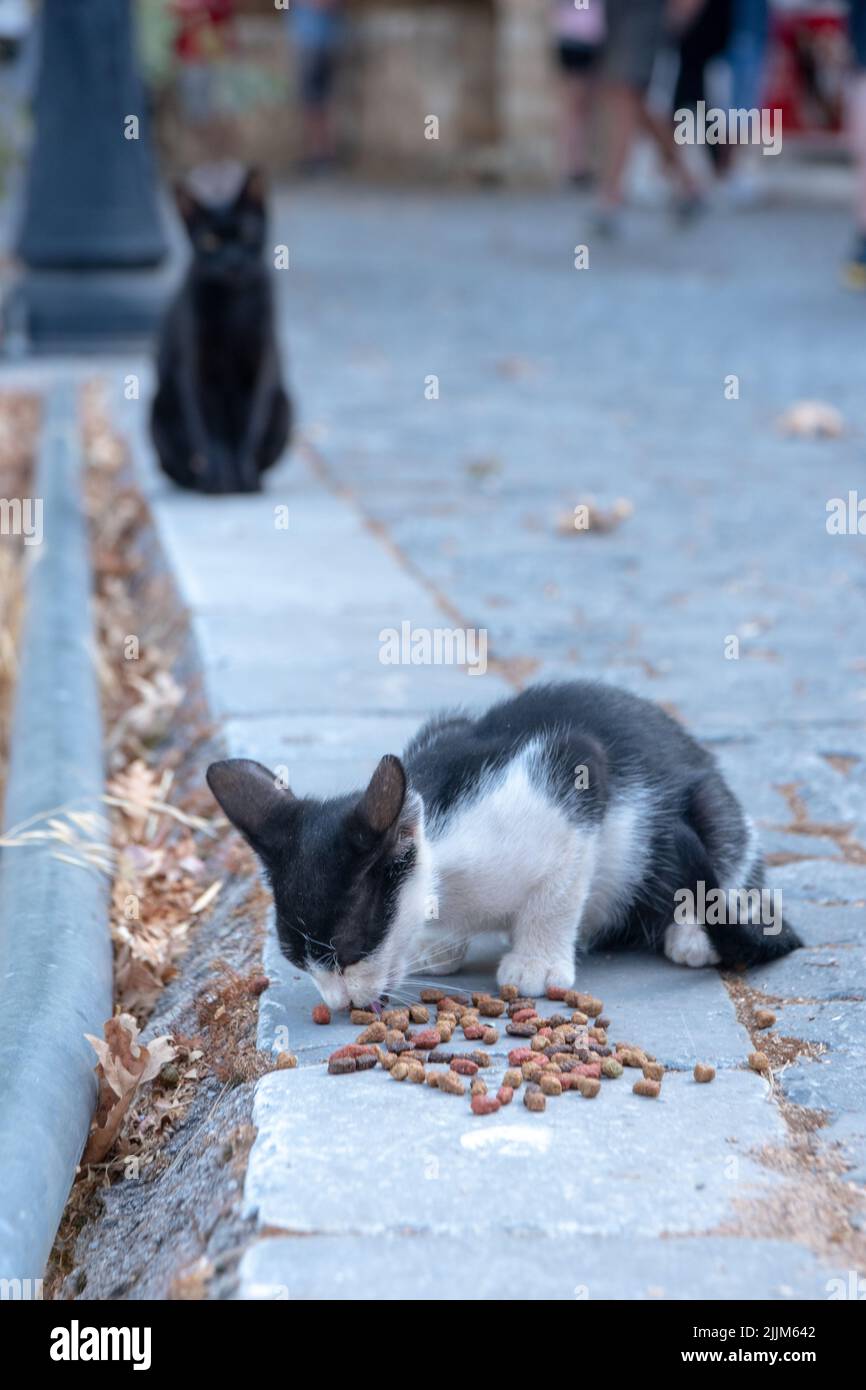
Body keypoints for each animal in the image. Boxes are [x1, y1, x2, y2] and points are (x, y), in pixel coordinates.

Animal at [204, 681, 800, 1011]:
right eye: (297, 962)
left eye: (349, 954)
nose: (340, 1003)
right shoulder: (446, 727)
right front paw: (436, 946)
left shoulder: (572, 768)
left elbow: (558, 892)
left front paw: (536, 961)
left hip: (709, 811)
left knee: (728, 852)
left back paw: (692, 931)